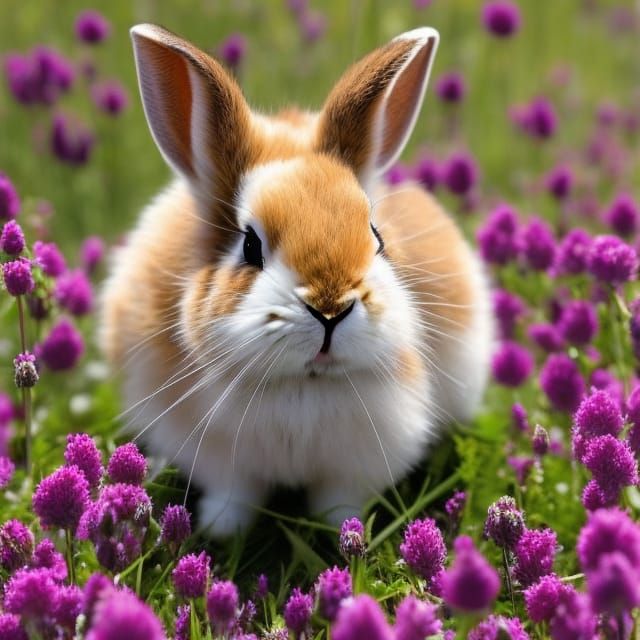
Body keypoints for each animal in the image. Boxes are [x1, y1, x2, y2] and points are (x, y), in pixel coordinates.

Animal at [100, 23, 493, 538]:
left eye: (376, 236)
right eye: (250, 246)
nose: (330, 309)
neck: (303, 383)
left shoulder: (358, 463)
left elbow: (340, 500)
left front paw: (344, 531)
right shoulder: (222, 461)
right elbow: (234, 495)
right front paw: (221, 529)